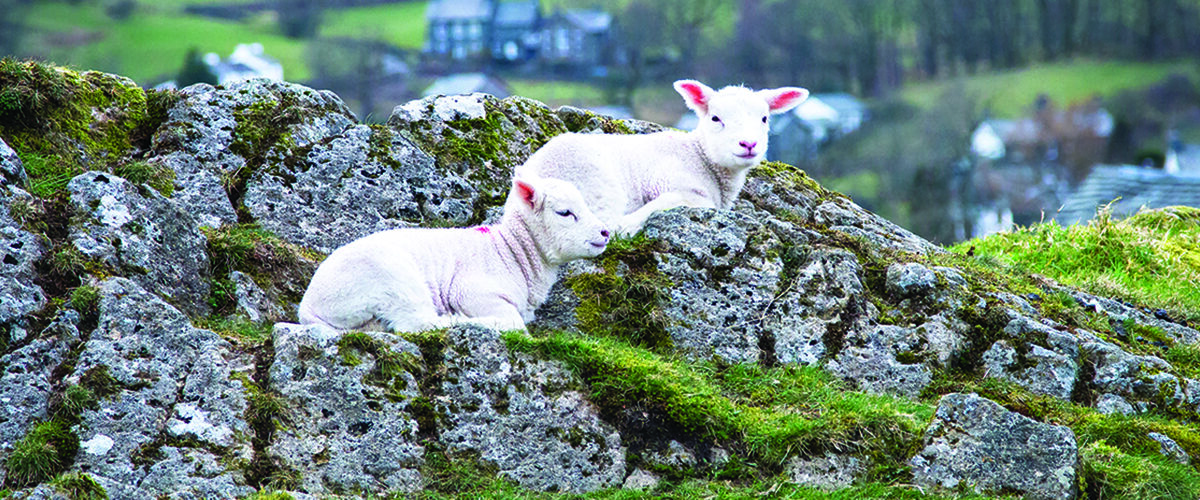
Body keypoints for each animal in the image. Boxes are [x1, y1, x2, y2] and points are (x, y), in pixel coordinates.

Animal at [297, 175, 610, 332]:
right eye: (565, 212)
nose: (605, 233)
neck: (512, 251)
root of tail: (308, 306)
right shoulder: (472, 291)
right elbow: (515, 322)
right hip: (393, 279)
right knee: (417, 324)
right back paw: (458, 321)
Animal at [515, 79, 808, 235]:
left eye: (764, 118)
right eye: (715, 118)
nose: (748, 144)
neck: (700, 156)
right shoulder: (673, 183)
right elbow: (671, 201)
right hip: (599, 187)